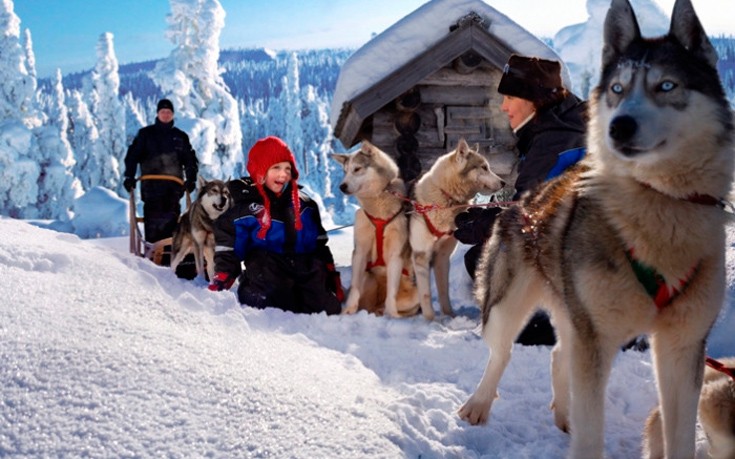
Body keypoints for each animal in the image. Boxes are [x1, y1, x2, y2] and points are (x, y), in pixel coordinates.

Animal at [334, 142, 420, 318]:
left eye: (357, 169)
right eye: (345, 171)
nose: (342, 186)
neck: (378, 211)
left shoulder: (395, 255)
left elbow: (391, 294)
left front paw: (392, 315)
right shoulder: (359, 252)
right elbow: (355, 288)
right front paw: (347, 311)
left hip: (415, 295)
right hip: (367, 277)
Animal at [408, 138, 506, 322]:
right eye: (484, 167)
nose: (504, 183)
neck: (445, 197)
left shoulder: (442, 258)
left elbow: (444, 292)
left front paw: (450, 316)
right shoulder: (421, 257)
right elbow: (425, 295)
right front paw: (430, 321)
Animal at [458, 0, 732, 459]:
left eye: (667, 85)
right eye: (617, 89)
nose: (618, 125)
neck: (658, 206)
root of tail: (524, 199)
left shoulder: (682, 347)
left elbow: (678, 433)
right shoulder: (596, 340)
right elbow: (590, 434)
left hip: (575, 313)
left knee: (557, 355)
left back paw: (563, 415)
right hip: (508, 306)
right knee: (501, 353)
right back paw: (478, 405)